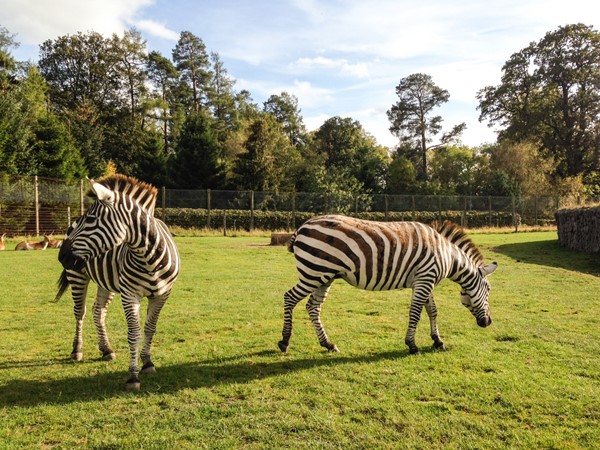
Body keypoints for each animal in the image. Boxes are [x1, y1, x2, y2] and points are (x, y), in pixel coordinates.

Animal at [56, 174, 180, 392]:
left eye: (91, 220)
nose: (61, 256)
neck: (149, 257)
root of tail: (73, 218)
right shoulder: (130, 294)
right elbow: (134, 333)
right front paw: (133, 377)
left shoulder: (162, 294)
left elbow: (150, 328)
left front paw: (147, 363)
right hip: (77, 275)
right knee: (80, 312)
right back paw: (77, 350)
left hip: (106, 281)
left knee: (98, 311)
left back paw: (106, 349)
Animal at [278, 214, 500, 356]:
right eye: (489, 290)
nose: (488, 323)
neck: (448, 256)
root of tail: (302, 226)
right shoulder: (425, 279)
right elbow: (416, 313)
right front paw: (412, 345)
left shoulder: (425, 280)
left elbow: (432, 311)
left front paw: (437, 341)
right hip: (313, 273)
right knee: (289, 297)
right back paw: (284, 341)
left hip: (324, 276)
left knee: (313, 307)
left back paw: (328, 344)